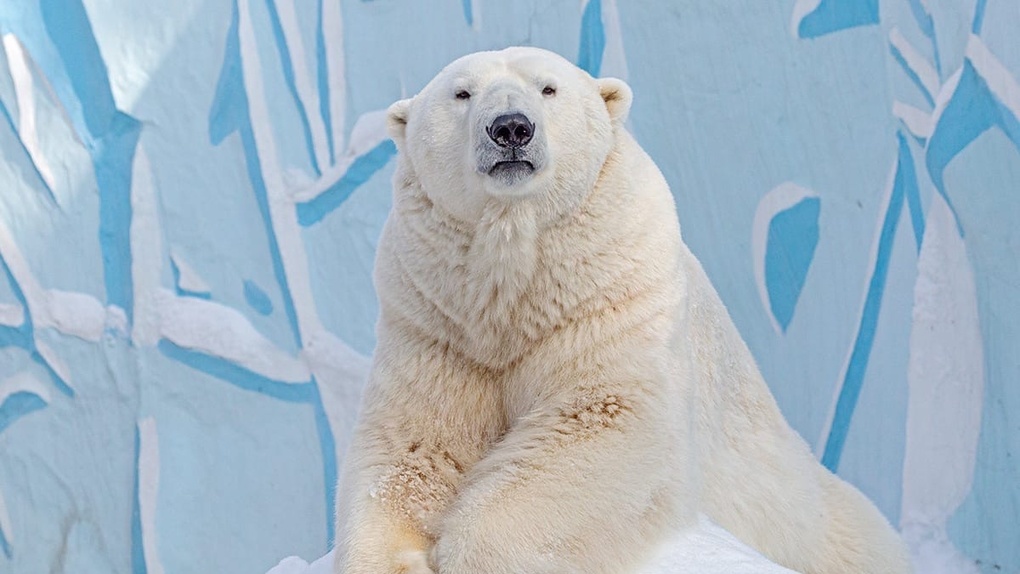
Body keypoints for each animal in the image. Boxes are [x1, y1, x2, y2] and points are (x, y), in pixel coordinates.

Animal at [332, 48, 909, 574]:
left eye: (548, 88)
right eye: (462, 93)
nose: (511, 128)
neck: (513, 289)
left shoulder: (611, 294)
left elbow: (605, 417)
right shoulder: (437, 323)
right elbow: (412, 451)